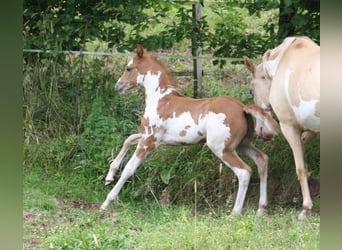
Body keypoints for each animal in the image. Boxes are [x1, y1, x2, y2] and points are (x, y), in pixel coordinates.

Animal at [100, 45, 280, 215]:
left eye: (128, 68)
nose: (118, 86)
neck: (160, 98)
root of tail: (242, 108)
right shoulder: (152, 138)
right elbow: (129, 138)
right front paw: (109, 176)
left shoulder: (148, 141)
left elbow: (129, 169)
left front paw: (106, 202)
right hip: (242, 144)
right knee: (262, 160)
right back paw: (261, 209)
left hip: (221, 148)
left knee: (244, 172)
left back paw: (234, 213)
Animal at [243, 36, 320, 220]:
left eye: (251, 91)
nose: (261, 131)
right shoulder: (312, 127)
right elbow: (304, 155)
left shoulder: (289, 127)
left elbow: (300, 168)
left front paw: (305, 208)